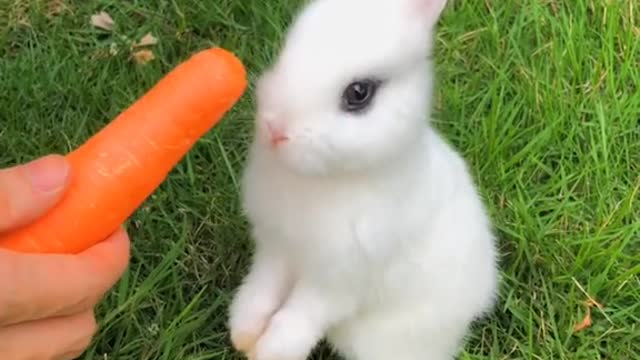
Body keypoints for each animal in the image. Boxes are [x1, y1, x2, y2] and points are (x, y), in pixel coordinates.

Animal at [226, 0, 500, 360]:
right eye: (288, 46)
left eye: (358, 93)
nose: (275, 128)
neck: (324, 179)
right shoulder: (276, 248)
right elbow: (261, 290)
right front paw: (243, 335)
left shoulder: (338, 283)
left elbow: (300, 316)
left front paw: (268, 351)